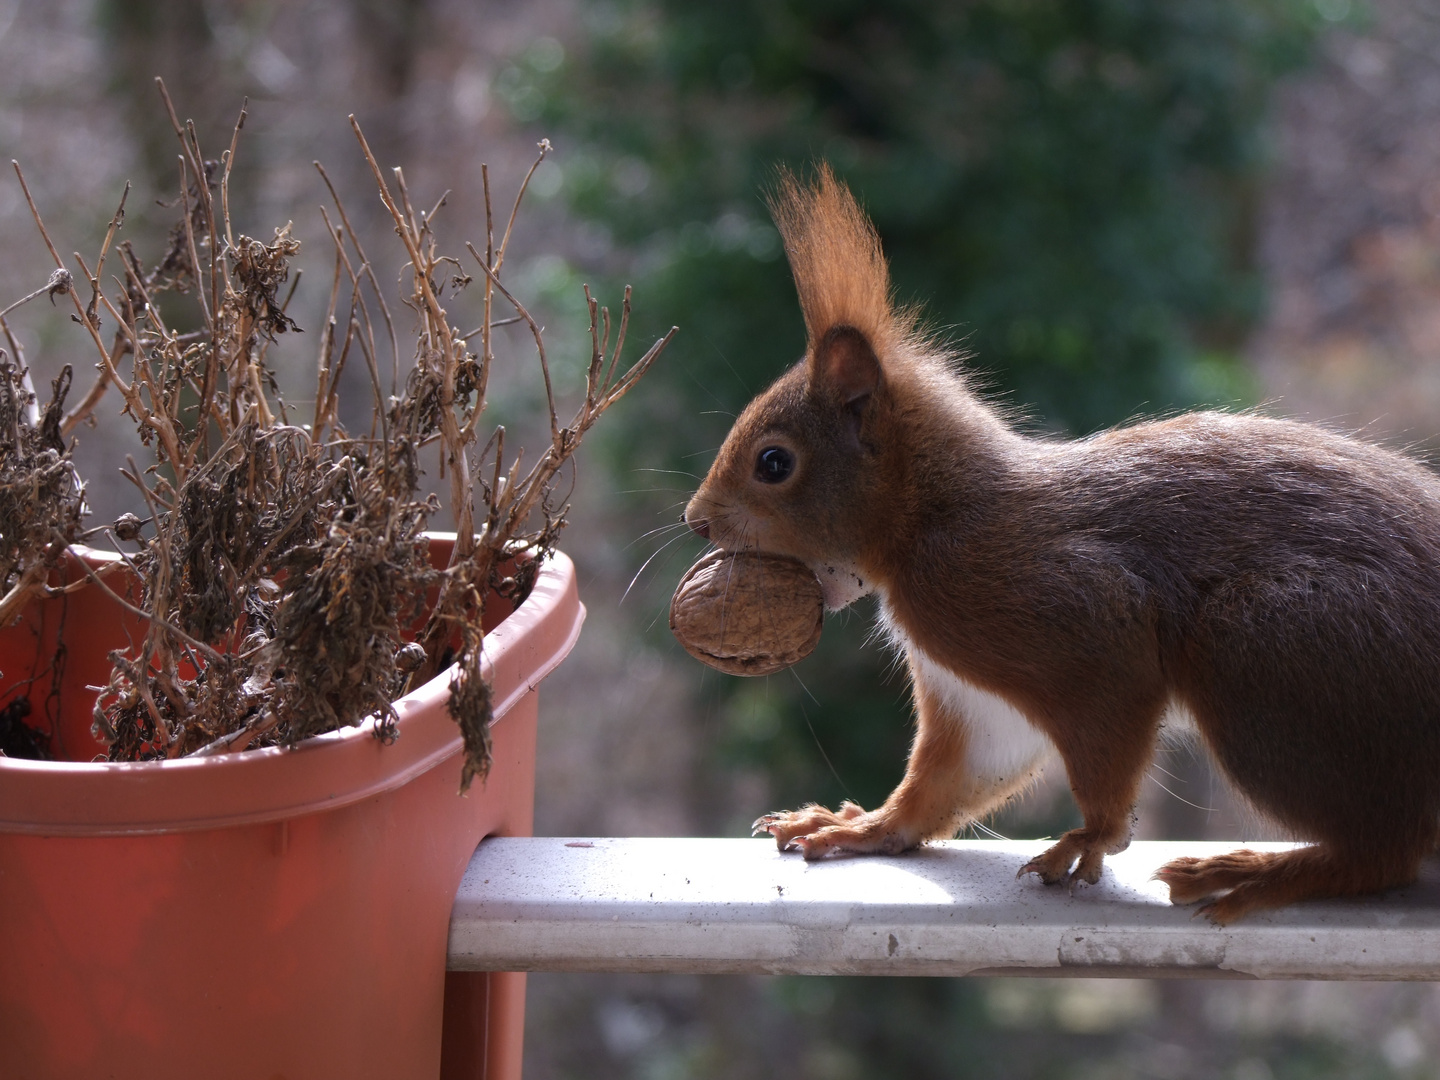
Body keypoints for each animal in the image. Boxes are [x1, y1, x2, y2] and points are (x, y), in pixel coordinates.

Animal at [679, 167, 1440, 921]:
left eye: (774, 463)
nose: (696, 521)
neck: (935, 516)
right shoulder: (972, 694)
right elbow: (952, 778)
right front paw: (860, 826)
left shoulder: (1071, 622)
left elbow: (1109, 730)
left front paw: (1091, 837)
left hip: (1266, 652)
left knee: (1381, 852)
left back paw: (1252, 874)